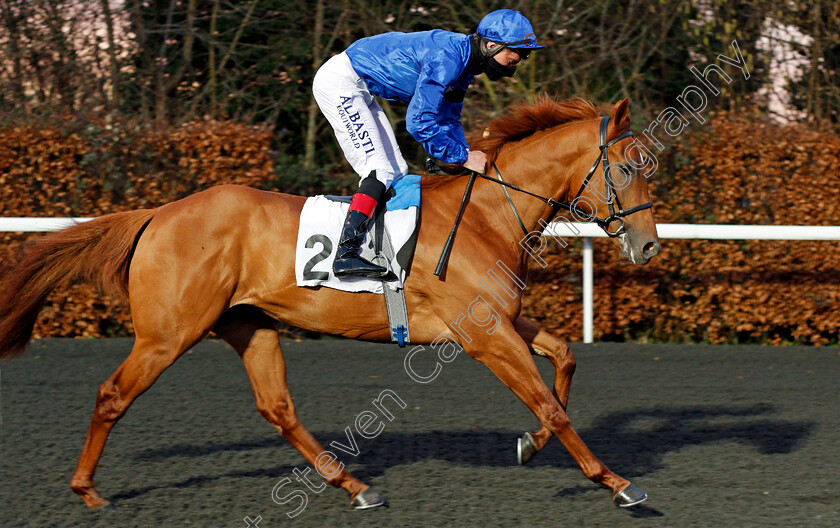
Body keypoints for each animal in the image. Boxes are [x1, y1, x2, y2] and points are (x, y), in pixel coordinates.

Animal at [0, 96, 660, 512]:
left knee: (277, 408)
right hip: (168, 334)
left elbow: (564, 357)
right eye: (628, 167)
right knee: (113, 394)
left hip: (249, 326)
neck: (486, 213)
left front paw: (531, 445)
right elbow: (550, 405)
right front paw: (616, 481)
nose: (649, 244)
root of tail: (159, 212)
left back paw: (353, 484)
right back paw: (86, 489)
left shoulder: (499, 319)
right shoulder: (484, 335)